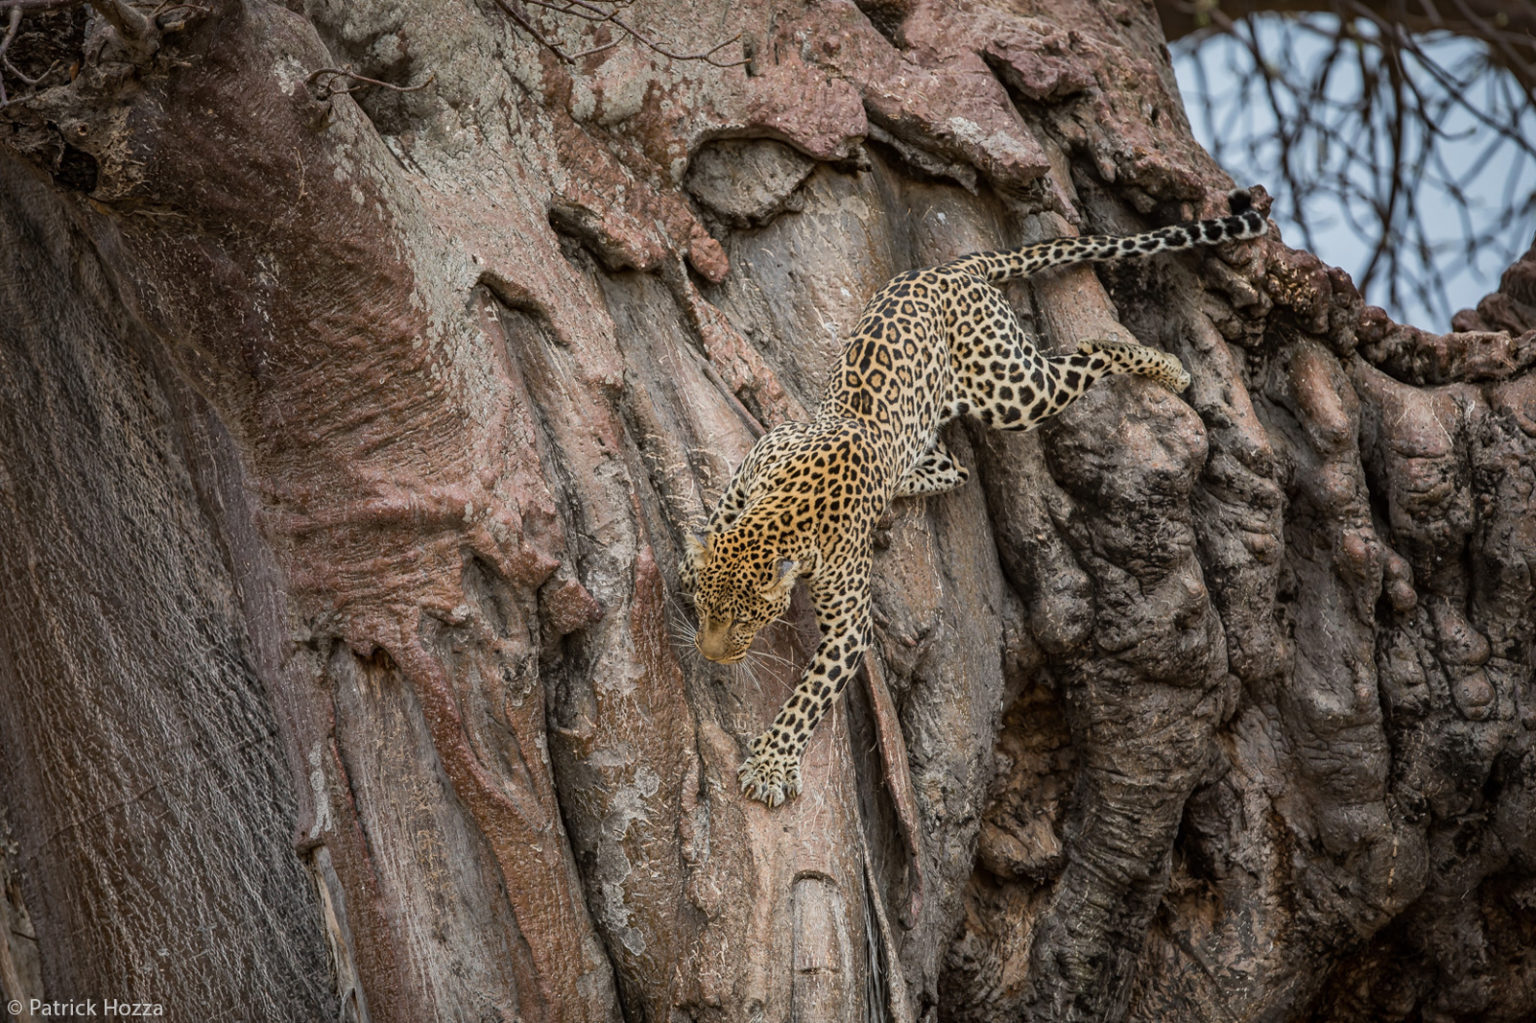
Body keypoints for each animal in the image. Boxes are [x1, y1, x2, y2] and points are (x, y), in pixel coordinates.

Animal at [682, 190, 1267, 807]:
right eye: (704, 609)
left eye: (747, 621)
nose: (710, 655)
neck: (781, 514)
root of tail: (950, 269)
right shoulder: (760, 457)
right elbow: (719, 516)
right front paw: (690, 560)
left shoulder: (849, 624)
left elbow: (809, 697)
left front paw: (772, 764)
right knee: (954, 463)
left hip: (1013, 388)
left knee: (1091, 354)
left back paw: (1167, 368)